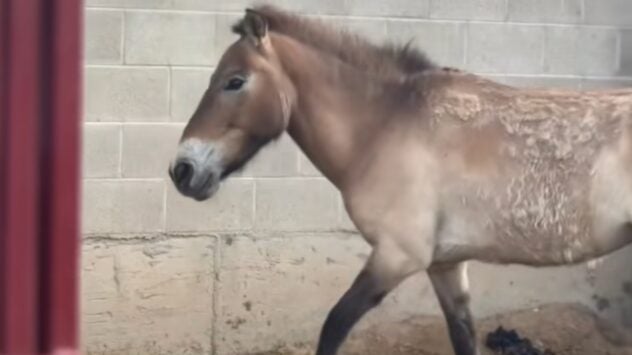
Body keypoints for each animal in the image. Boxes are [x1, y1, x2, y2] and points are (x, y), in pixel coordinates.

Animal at [168, 4, 632, 355]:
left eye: (234, 81)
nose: (182, 170)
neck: (385, 126)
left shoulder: (397, 256)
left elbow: (333, 327)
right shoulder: (445, 265)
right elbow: (463, 336)